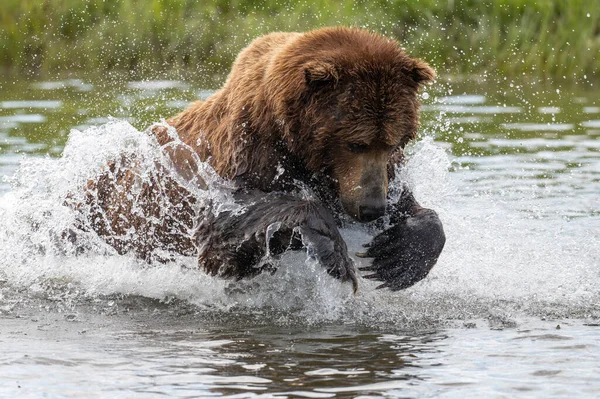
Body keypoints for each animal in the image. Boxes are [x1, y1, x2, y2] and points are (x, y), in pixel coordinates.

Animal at [77, 26, 446, 292]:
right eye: (356, 143)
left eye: (394, 141)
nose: (372, 208)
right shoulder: (246, 152)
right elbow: (224, 231)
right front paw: (333, 251)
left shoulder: (373, 177)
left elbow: (413, 208)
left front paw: (397, 257)